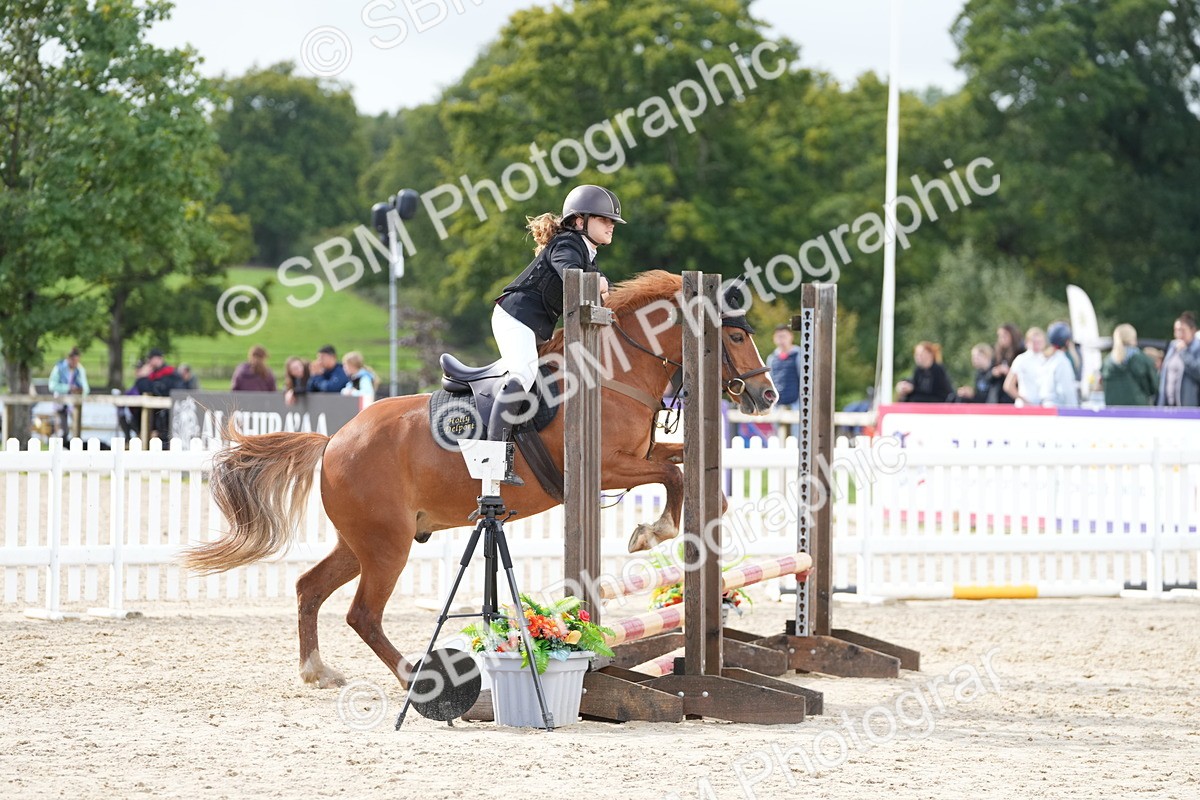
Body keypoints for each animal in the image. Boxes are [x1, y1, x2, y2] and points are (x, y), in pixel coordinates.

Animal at [183, 270, 777, 690]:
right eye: (737, 335)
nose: (766, 395)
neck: (616, 371)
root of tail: (333, 441)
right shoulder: (609, 464)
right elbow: (671, 475)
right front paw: (651, 533)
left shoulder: (639, 452)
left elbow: (685, 467)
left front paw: (699, 517)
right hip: (387, 545)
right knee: (362, 614)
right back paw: (410, 674)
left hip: (362, 541)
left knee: (309, 588)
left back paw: (317, 671)